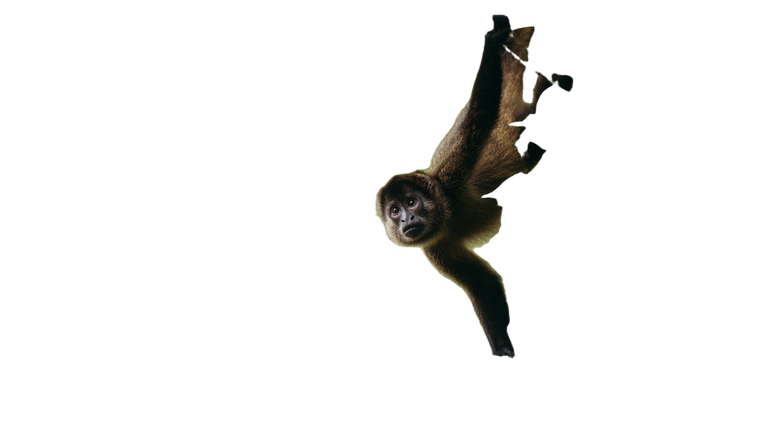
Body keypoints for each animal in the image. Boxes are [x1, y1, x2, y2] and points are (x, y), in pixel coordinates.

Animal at [372, 12, 575, 360]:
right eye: (394, 211)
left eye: (411, 203)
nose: (407, 219)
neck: (446, 211)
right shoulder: (433, 248)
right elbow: (483, 283)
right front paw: (501, 344)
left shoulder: (452, 173)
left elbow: (480, 116)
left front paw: (491, 41)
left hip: (503, 133)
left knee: (509, 115)